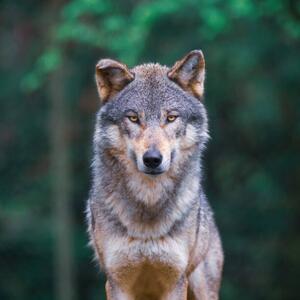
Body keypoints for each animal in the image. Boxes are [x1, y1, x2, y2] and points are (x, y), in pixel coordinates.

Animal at [86, 50, 223, 298]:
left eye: (170, 118)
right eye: (133, 118)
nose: (152, 159)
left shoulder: (175, 281)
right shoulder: (117, 282)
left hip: (202, 288)